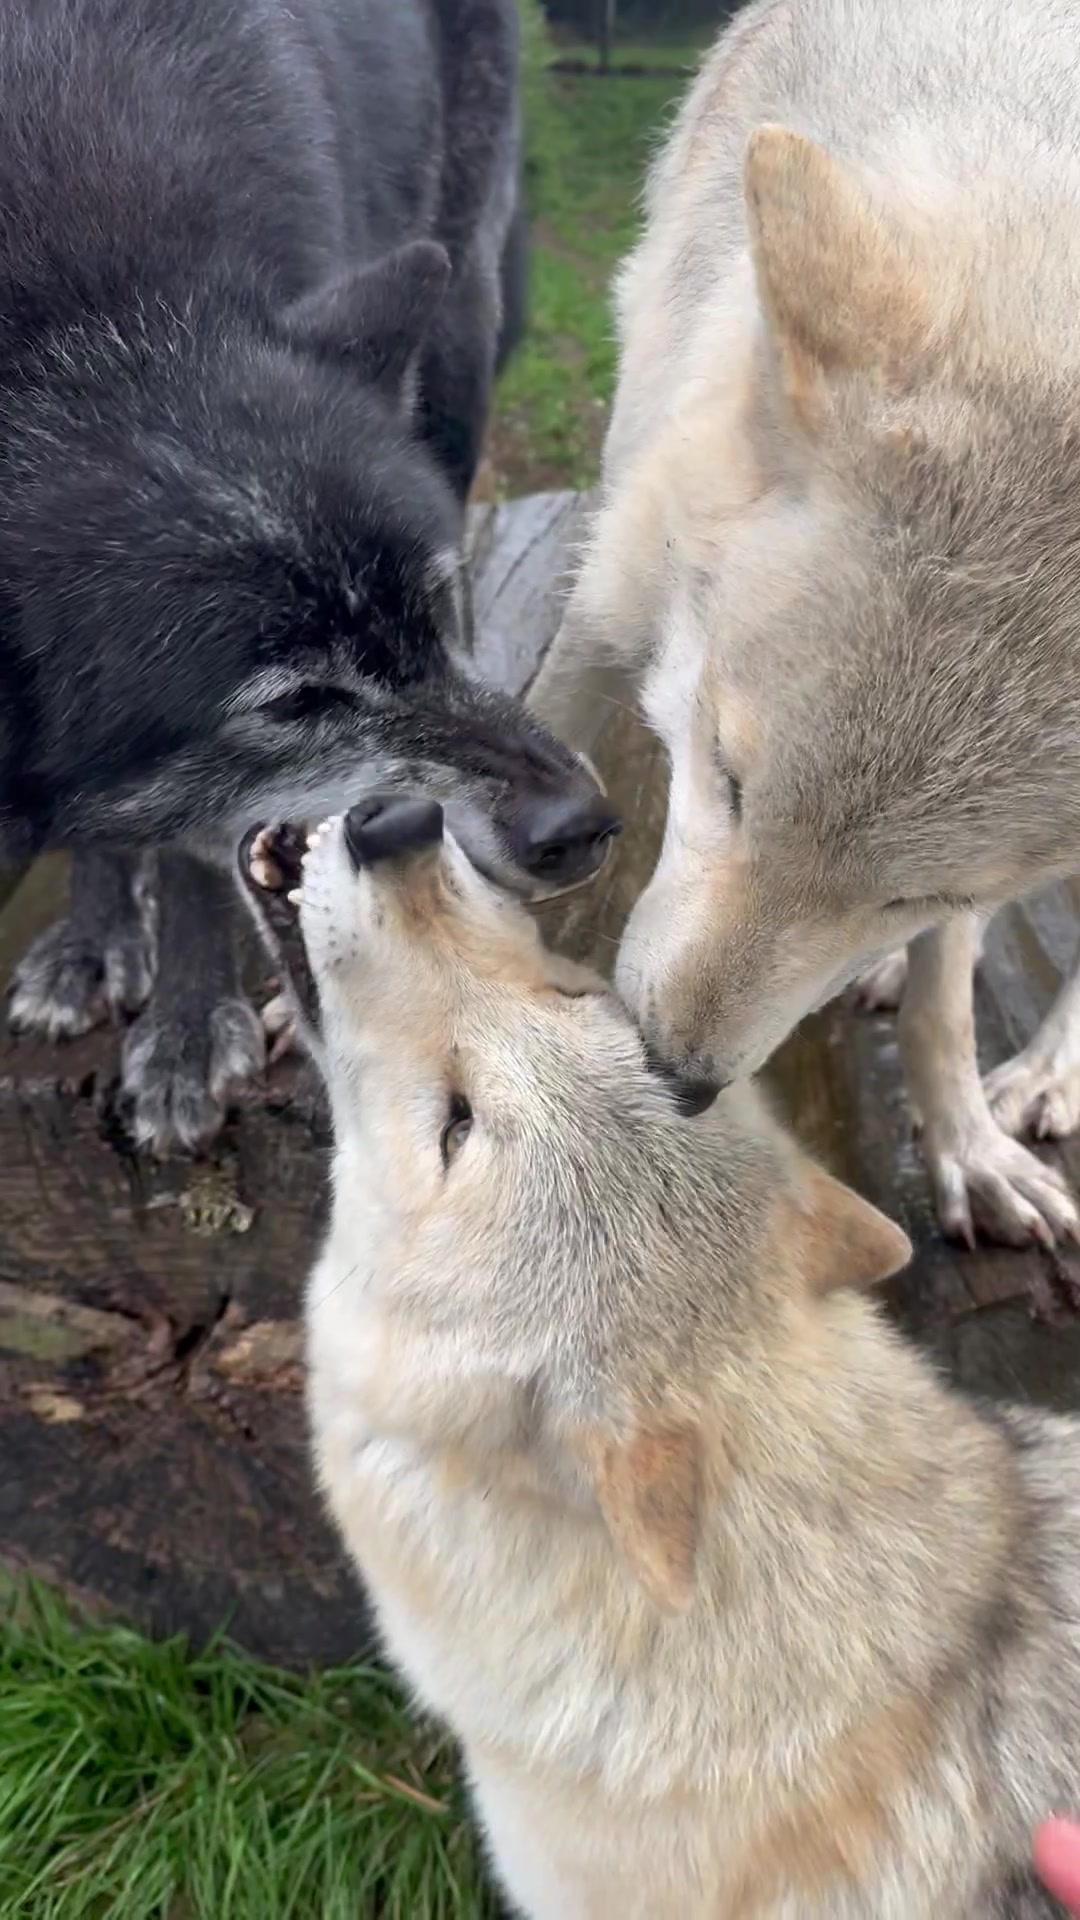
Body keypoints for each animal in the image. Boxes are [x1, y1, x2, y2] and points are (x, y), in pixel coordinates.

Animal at [0, 0, 615, 1155]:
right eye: (297, 702)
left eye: (436, 608)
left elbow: (195, 861)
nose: (580, 826)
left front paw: (189, 1031)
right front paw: (100, 940)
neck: (81, 315)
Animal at [530, 0, 1080, 1248]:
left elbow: (945, 1002)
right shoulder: (611, 586)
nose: (676, 1076)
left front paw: (965, 1144)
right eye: (728, 783)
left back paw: (1041, 1076)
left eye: (918, 891)